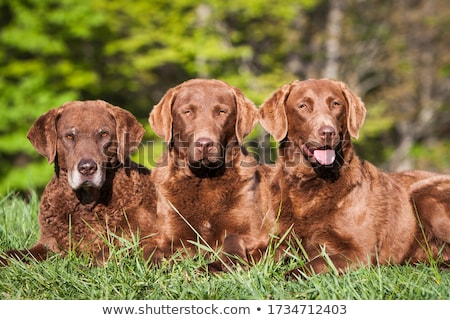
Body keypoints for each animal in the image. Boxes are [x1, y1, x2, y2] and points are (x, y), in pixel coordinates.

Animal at [0, 100, 163, 264]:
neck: (85, 203)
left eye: (104, 134)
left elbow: (106, 253)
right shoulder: (48, 243)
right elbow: (13, 254)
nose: (87, 168)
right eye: (69, 136)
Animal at [149, 78, 272, 270]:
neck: (204, 179)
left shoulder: (254, 234)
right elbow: (158, 253)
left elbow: (232, 239)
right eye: (187, 111)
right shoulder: (170, 235)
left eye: (221, 111)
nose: (205, 144)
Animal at [258, 79, 450, 276]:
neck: (310, 185)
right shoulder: (280, 241)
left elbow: (310, 266)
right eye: (303, 106)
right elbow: (258, 256)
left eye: (336, 104)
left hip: (424, 196)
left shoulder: (359, 251)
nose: (328, 132)